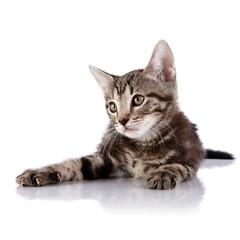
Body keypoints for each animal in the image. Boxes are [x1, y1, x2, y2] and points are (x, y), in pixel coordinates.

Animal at [15, 39, 233, 189]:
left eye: (137, 100)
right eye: (112, 107)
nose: (121, 120)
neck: (145, 143)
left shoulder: (190, 157)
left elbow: (178, 165)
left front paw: (164, 172)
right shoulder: (106, 158)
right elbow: (74, 164)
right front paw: (41, 172)